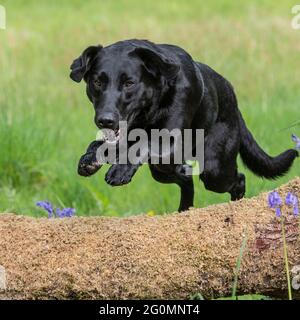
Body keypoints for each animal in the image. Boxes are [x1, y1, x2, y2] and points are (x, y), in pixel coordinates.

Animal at [69, 38, 298, 211]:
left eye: (129, 83)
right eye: (97, 82)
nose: (105, 120)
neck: (150, 110)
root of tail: (233, 101)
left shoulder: (171, 142)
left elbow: (143, 144)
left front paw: (120, 170)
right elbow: (103, 144)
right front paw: (90, 158)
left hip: (214, 169)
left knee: (238, 179)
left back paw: (236, 205)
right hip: (162, 170)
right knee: (187, 180)